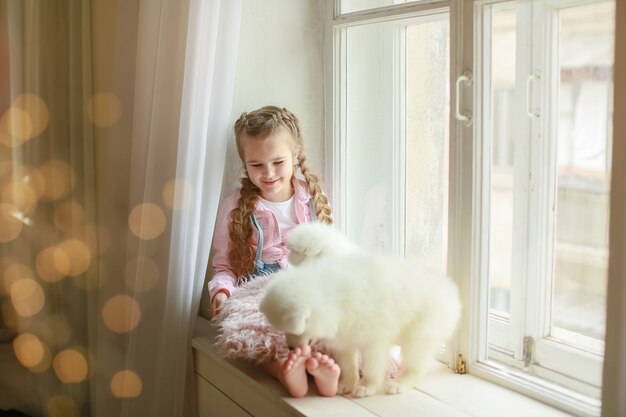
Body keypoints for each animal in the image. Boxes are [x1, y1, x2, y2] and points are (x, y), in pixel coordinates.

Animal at [258, 224, 458, 396]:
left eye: (294, 251)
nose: (291, 348)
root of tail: (451, 292)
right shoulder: (344, 339)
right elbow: (348, 365)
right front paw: (347, 383)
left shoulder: (374, 340)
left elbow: (372, 366)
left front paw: (366, 387)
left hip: (419, 334)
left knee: (414, 364)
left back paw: (400, 383)